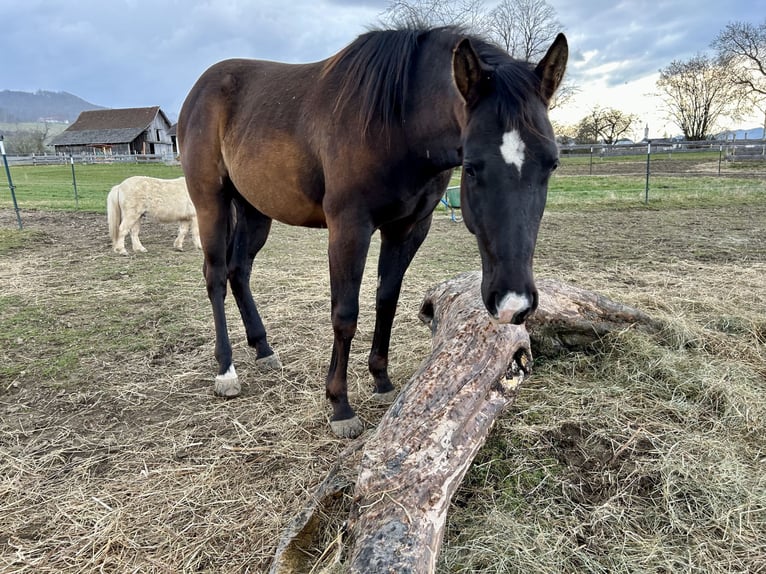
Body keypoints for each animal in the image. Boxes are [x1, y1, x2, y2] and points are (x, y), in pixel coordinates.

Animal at [177, 25, 568, 440]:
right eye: (472, 166)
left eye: (552, 164)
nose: (513, 303)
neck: (397, 124)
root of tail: (199, 90)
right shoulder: (349, 228)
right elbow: (345, 314)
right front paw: (340, 405)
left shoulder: (408, 229)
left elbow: (387, 301)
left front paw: (381, 380)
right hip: (211, 203)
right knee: (217, 276)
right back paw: (226, 370)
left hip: (254, 211)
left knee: (240, 271)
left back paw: (263, 348)